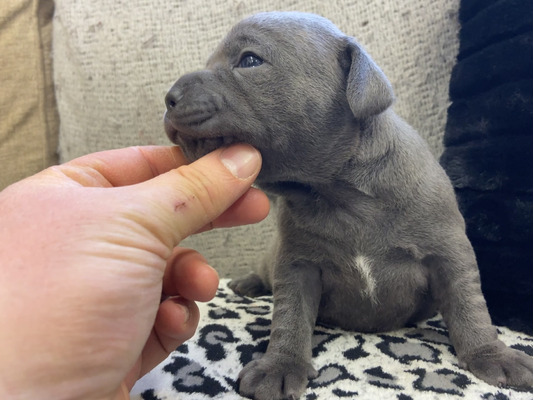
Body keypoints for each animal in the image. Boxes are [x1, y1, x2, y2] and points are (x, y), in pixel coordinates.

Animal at [164, 10, 534, 398]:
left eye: (250, 60)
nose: (169, 97)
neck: (339, 195)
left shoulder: (450, 252)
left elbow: (469, 304)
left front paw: (491, 354)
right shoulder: (297, 265)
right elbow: (291, 316)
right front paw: (281, 365)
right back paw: (249, 283)